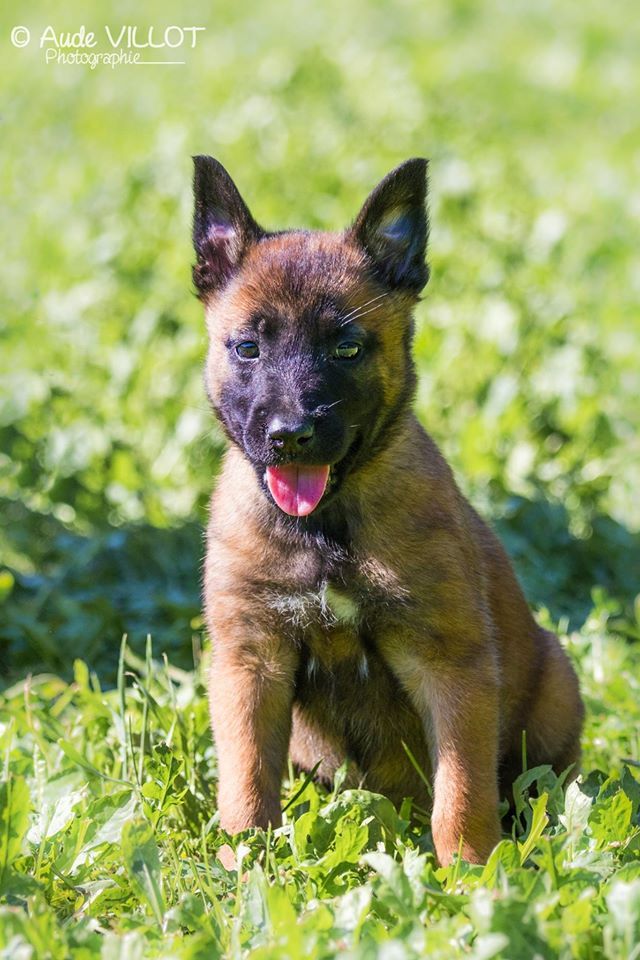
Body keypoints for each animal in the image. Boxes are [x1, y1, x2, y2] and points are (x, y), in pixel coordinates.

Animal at [192, 156, 584, 866]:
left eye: (346, 348)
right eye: (247, 349)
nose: (290, 435)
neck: (326, 530)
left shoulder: (450, 663)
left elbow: (462, 789)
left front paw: (471, 872)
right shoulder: (249, 662)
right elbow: (245, 780)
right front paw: (245, 865)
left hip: (556, 683)